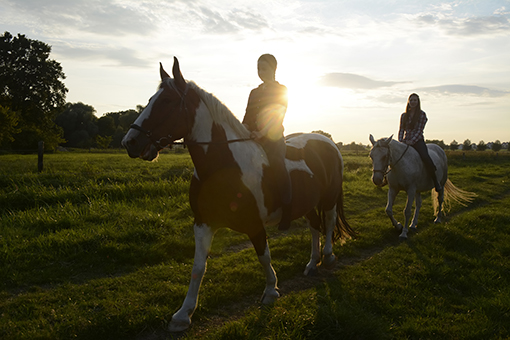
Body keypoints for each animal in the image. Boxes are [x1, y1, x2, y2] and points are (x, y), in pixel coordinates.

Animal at [122, 58, 356, 332]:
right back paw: (312, 263)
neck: (223, 165)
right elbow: (198, 268)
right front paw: (183, 314)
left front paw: (271, 291)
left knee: (328, 223)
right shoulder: (203, 223)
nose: (130, 142)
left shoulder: (255, 225)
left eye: (167, 101)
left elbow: (264, 257)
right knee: (315, 227)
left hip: (328, 199)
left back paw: (328, 257)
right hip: (308, 205)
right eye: (150, 99)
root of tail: (327, 141)